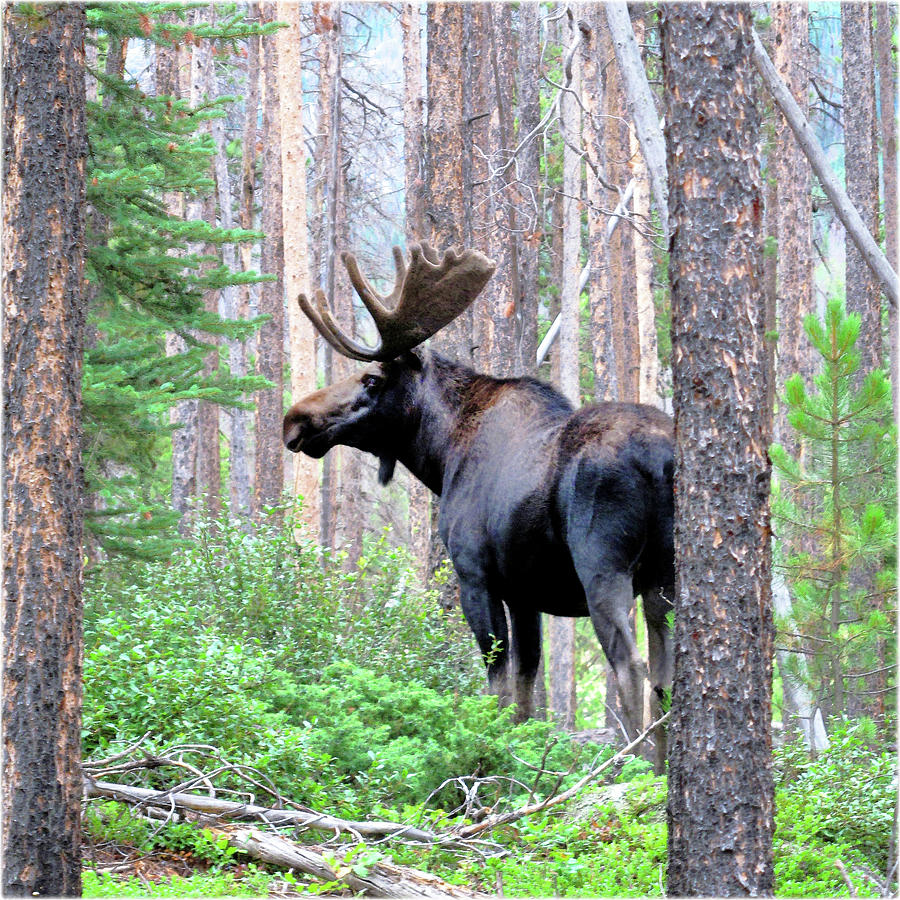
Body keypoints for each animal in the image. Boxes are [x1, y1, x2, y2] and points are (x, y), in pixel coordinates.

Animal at [284, 243, 676, 768]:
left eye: (370, 379)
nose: (294, 419)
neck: (439, 455)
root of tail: (663, 458)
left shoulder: (475, 575)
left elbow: (497, 688)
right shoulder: (525, 593)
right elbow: (526, 694)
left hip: (603, 565)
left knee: (631, 667)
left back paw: (630, 768)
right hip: (664, 573)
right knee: (664, 678)